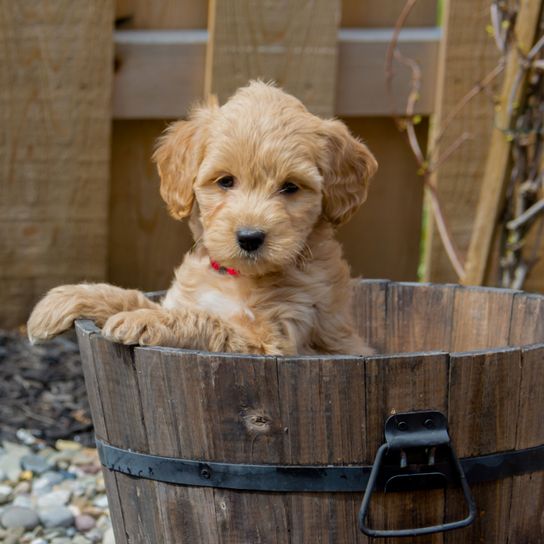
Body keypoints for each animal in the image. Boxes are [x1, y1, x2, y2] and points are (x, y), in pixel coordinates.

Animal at [27, 78, 378, 354]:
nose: (250, 238)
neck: (237, 277)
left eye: (290, 187)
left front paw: (145, 320)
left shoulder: (273, 339)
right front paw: (60, 300)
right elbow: (129, 296)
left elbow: (206, 320)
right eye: (225, 181)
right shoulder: (185, 299)